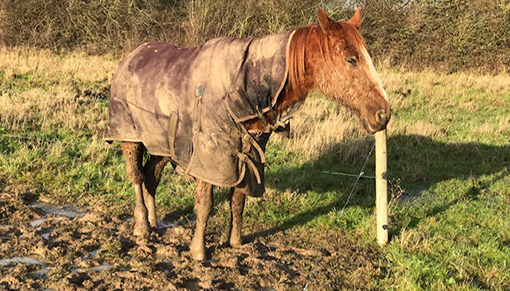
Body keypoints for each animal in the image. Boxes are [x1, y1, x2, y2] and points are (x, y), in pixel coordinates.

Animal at [104, 7, 390, 262]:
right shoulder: (209, 157)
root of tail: (129, 58)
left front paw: (236, 242)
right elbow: (205, 204)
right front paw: (199, 252)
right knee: (136, 177)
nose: (383, 114)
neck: (244, 86)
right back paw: (142, 227)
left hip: (162, 143)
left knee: (151, 177)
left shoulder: (249, 152)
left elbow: (238, 199)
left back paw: (154, 223)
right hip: (130, 138)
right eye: (351, 59)